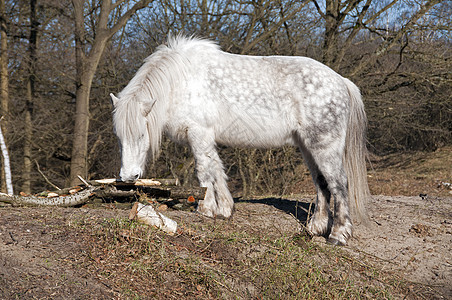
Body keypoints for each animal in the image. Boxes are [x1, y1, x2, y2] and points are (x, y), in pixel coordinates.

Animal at [110, 35, 370, 246]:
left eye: (141, 134)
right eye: (119, 137)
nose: (128, 176)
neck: (181, 82)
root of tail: (341, 81)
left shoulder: (198, 133)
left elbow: (204, 171)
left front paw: (206, 209)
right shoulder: (205, 138)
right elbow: (216, 170)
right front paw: (224, 209)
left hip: (324, 145)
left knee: (338, 184)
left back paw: (338, 235)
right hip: (308, 147)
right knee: (321, 184)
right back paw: (316, 228)